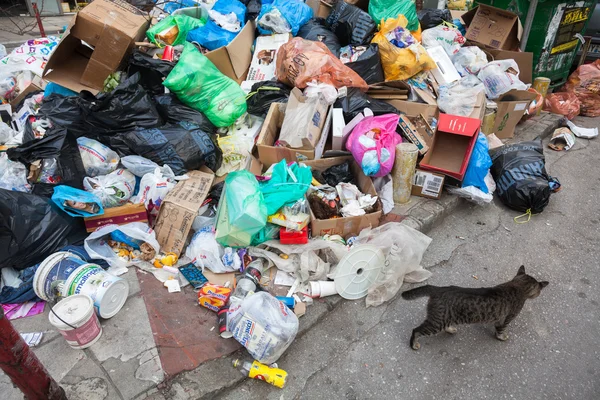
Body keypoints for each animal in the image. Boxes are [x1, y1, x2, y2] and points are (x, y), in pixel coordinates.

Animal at [404, 266, 548, 350]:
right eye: (539, 292)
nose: (539, 294)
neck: (517, 286)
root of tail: (438, 289)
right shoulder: (505, 319)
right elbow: (501, 330)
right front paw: (502, 337)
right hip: (436, 322)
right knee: (416, 330)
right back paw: (414, 344)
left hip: (445, 318)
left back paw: (450, 329)